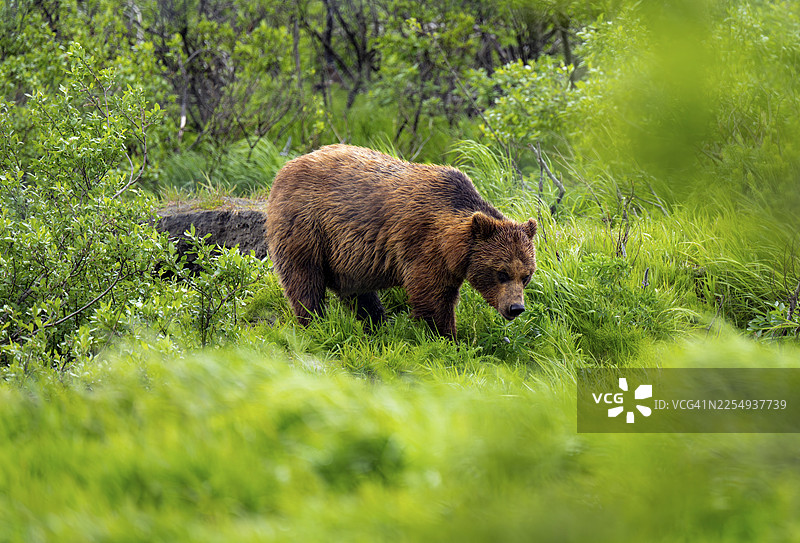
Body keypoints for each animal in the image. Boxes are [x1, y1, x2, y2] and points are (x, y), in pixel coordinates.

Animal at [265, 144, 537, 339]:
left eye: (526, 275)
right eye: (501, 273)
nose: (516, 308)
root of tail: (285, 168)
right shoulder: (423, 244)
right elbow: (431, 296)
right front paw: (447, 338)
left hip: (345, 256)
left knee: (359, 294)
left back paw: (376, 324)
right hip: (307, 227)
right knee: (305, 280)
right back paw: (315, 322)